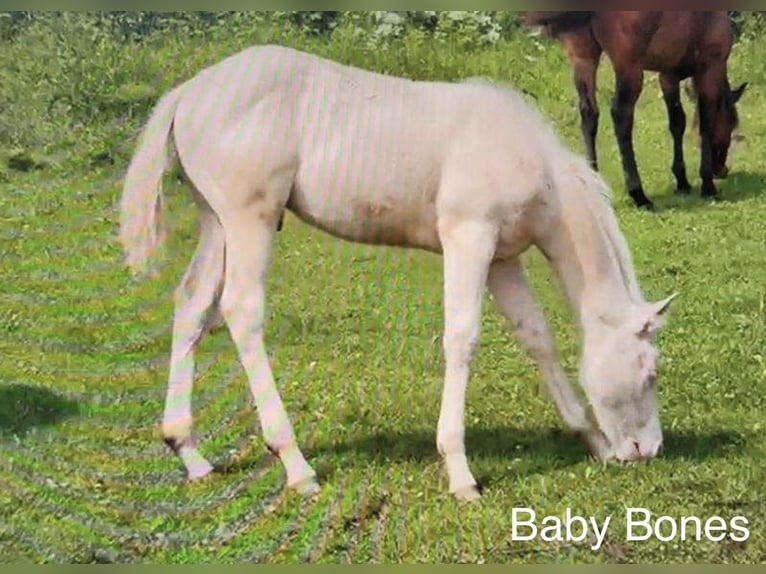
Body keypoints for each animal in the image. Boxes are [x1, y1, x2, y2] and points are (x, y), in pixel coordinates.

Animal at [119, 44, 675, 501]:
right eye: (650, 371)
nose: (647, 450)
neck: (531, 162)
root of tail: (190, 91)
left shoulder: (502, 257)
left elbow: (535, 335)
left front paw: (593, 438)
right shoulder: (468, 237)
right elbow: (462, 337)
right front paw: (460, 473)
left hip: (216, 224)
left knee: (192, 303)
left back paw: (189, 452)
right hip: (248, 219)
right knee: (240, 311)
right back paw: (296, 465)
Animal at [525, 11, 747, 210]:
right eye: (731, 124)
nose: (722, 170)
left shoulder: (668, 75)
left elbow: (677, 123)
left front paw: (682, 180)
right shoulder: (711, 67)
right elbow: (706, 124)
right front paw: (708, 185)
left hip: (583, 57)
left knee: (589, 114)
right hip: (629, 67)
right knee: (621, 117)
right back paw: (639, 195)